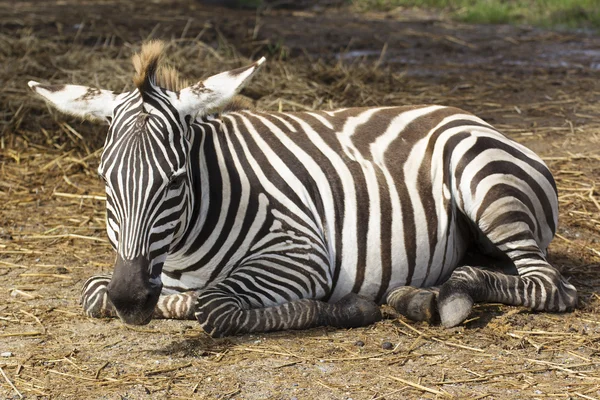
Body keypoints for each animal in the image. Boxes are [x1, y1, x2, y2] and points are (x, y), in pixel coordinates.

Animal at [28, 40, 576, 336]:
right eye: (105, 180)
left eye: (177, 179)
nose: (132, 299)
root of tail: (469, 115)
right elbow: (94, 293)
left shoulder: (302, 253)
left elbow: (215, 306)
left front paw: (349, 308)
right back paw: (417, 296)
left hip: (486, 183)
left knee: (549, 286)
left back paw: (449, 294)